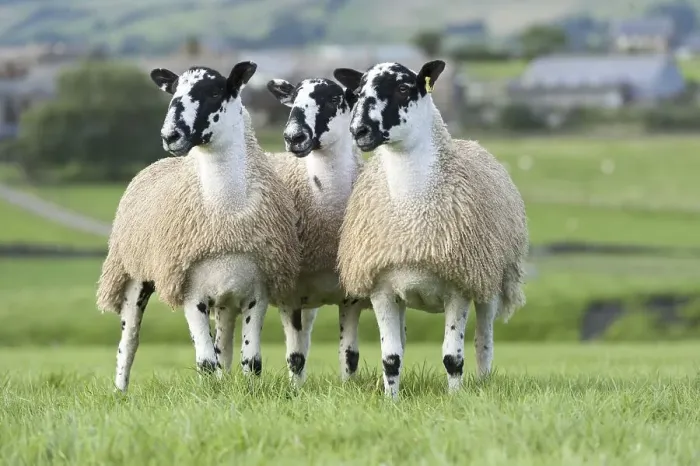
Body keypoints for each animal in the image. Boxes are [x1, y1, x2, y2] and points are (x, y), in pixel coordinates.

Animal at [96, 61, 301, 392]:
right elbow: (205, 362)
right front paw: (209, 395)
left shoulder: (258, 291)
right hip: (132, 275)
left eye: (216, 92)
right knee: (129, 341)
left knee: (224, 345)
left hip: (226, 297)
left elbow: (251, 361)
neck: (225, 215)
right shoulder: (190, 292)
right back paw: (120, 391)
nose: (171, 135)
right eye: (173, 93)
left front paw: (248, 392)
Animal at [265, 77, 370, 385]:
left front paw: (347, 388)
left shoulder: (351, 295)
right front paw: (295, 391)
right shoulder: (289, 295)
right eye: (294, 99)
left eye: (334, 99)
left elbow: (349, 355)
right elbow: (295, 357)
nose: (294, 137)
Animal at [333, 60, 529, 398]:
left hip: (487, 279)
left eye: (403, 87)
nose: (359, 130)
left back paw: (483, 383)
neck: (413, 218)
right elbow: (391, 357)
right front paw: (391, 401)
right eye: (357, 92)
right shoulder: (381, 288)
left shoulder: (459, 287)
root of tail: (472, 143)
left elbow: (453, 357)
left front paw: (455, 399)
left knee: (484, 342)